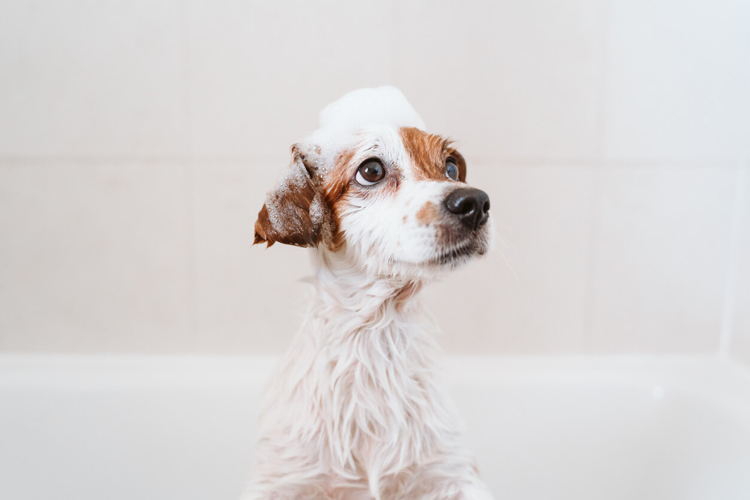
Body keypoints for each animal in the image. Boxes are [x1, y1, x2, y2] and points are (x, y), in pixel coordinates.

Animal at [244, 87, 496, 500]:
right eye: (372, 170)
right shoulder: (285, 479)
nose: (475, 203)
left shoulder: (453, 475)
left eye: (451, 169)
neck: (374, 334)